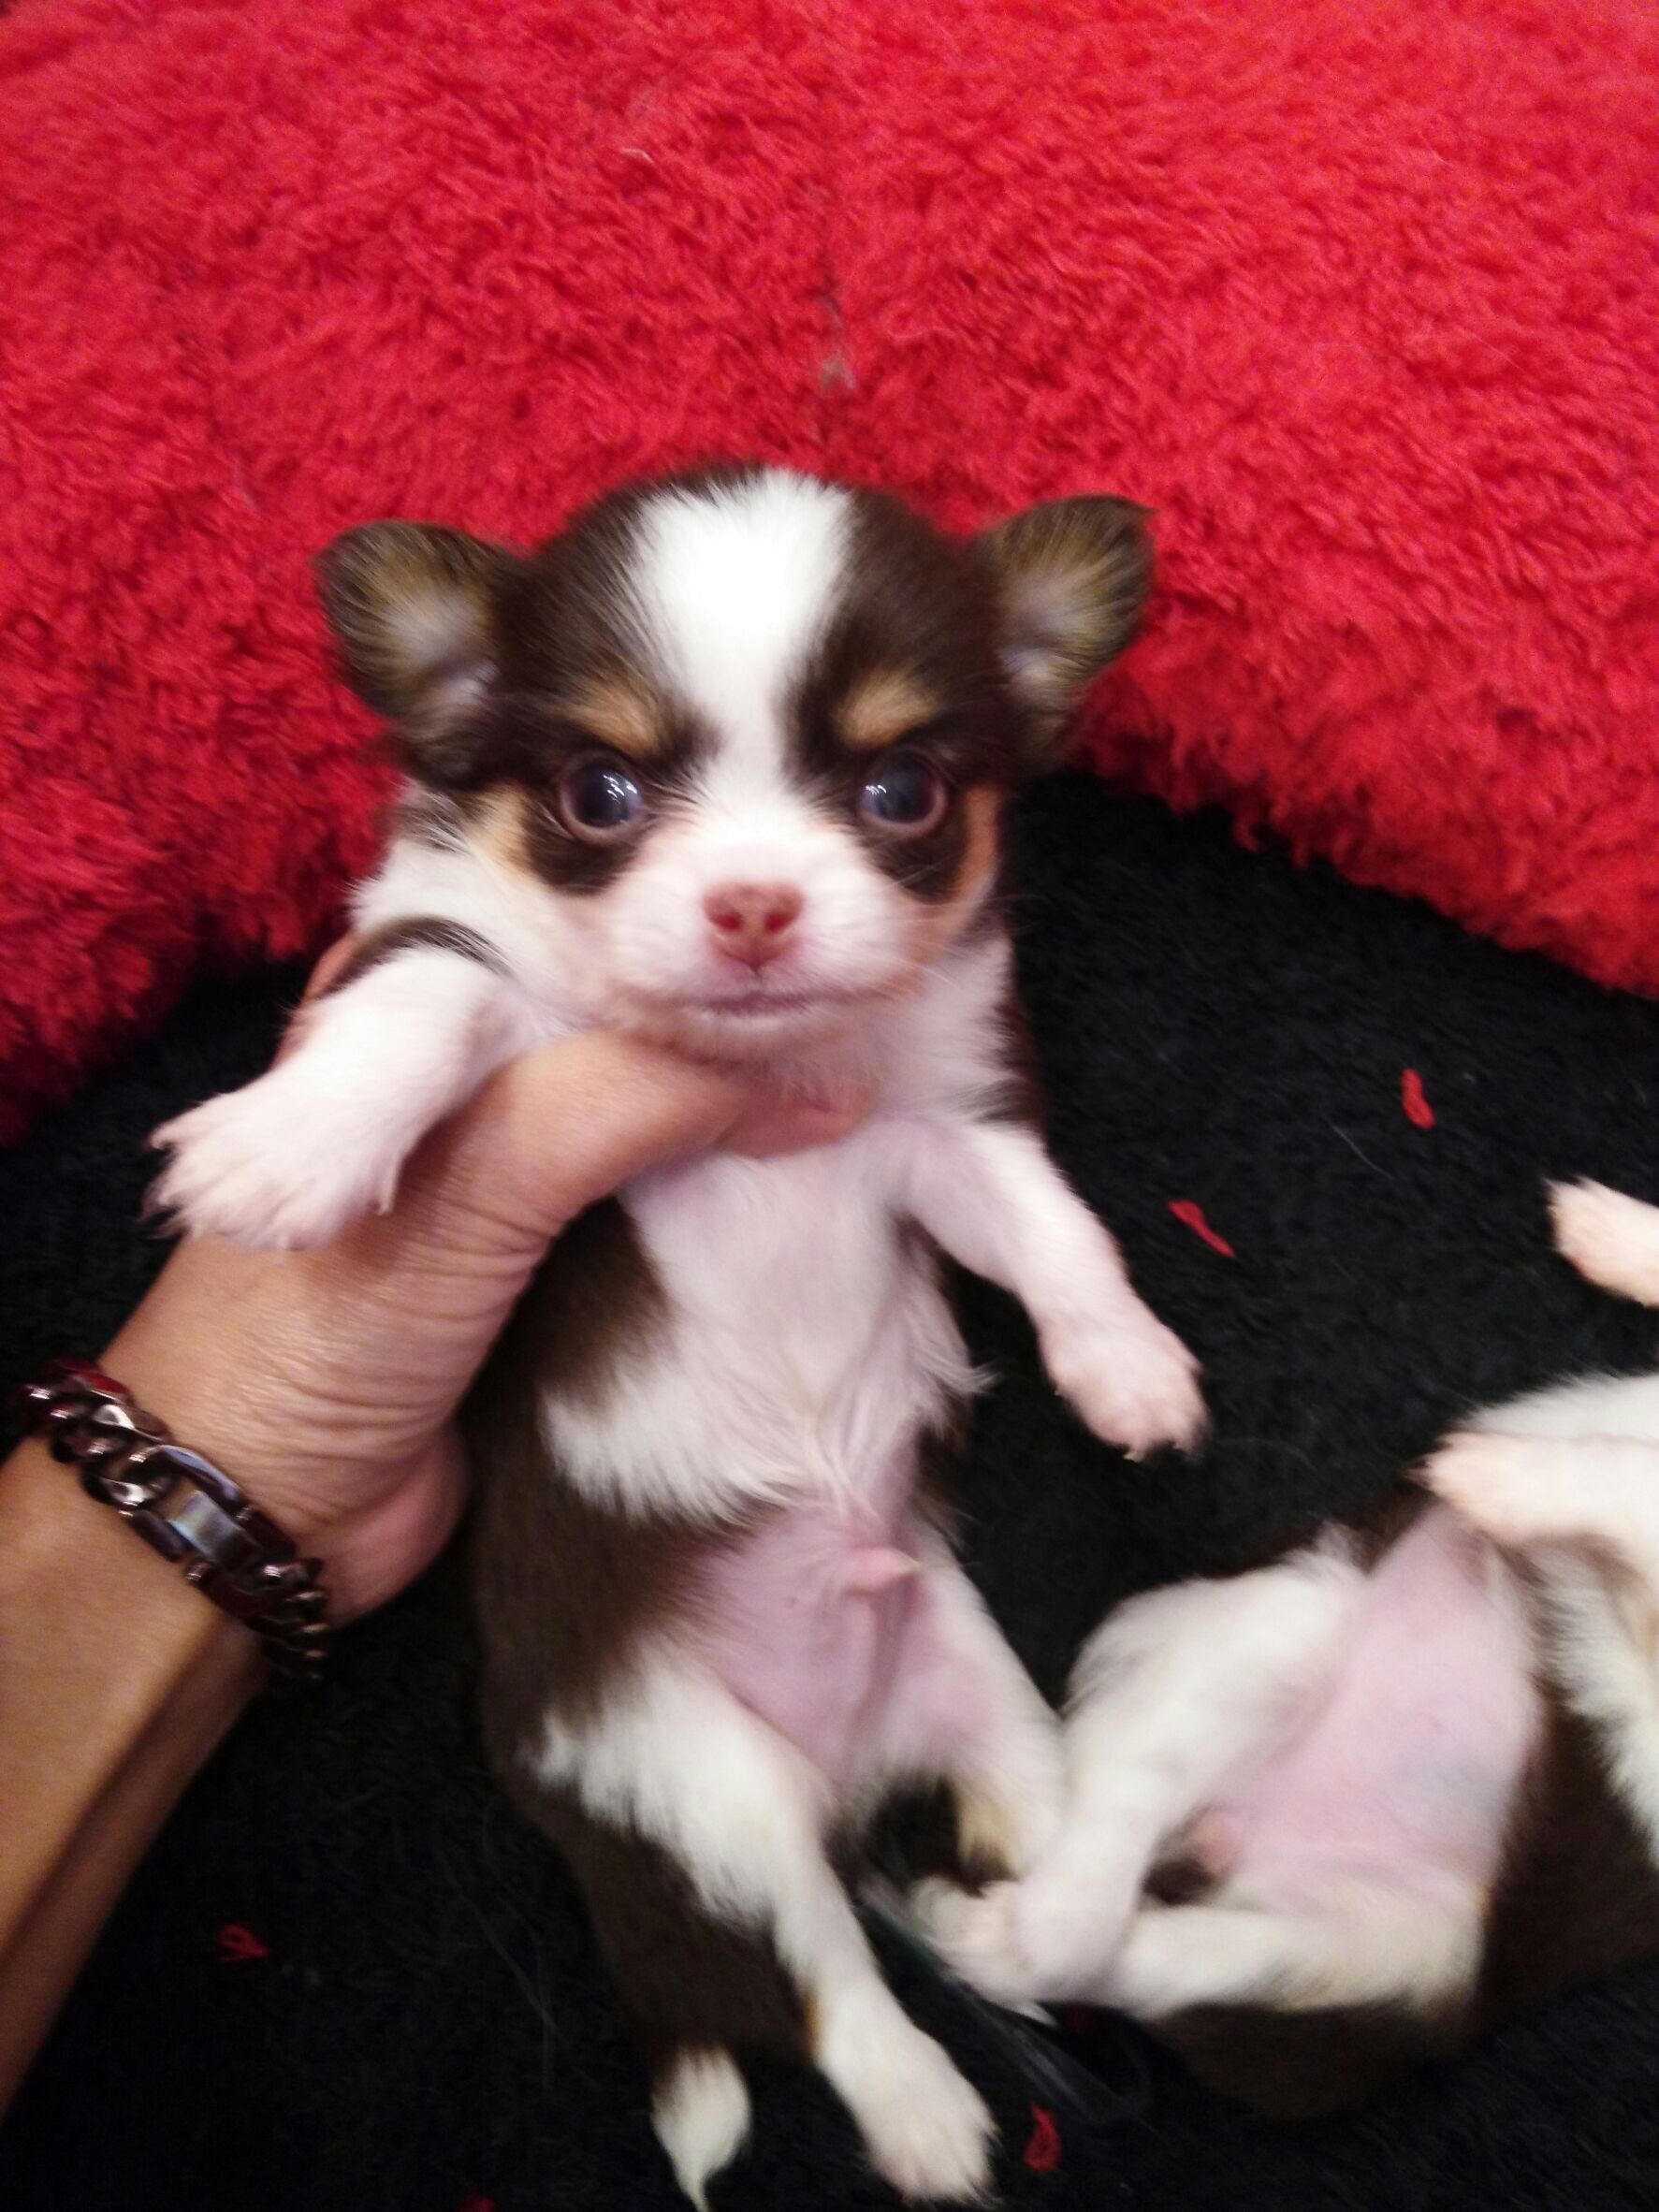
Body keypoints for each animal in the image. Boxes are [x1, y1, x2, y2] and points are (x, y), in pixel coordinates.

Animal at [154, 463, 1205, 2201]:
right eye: (599, 792)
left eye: (902, 790)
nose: (755, 905)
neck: (755, 1079)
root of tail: (839, 1763)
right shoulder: (471, 988)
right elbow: (426, 1000)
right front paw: (287, 1145)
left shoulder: (938, 1123)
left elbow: (1050, 1223)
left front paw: (1124, 1360)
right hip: (697, 1793)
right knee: (820, 1980)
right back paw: (924, 2119)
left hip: (981, 1690)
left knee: (1008, 1859)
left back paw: (1056, 1940)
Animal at [918, 1178, 1659, 2117]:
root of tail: (1231, 1840)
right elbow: (1627, 1463)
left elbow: (1629, 1475)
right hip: (1291, 1615)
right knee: (1107, 1813)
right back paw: (1012, 1919)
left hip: (1370, 1957)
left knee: (1134, 1958)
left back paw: (988, 1935)